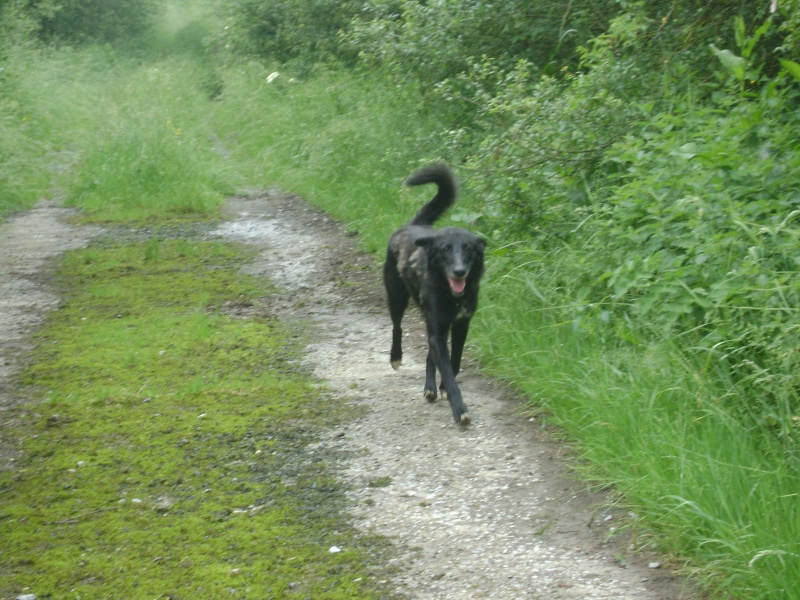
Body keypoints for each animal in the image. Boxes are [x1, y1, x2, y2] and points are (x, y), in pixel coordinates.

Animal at [382, 164, 484, 424]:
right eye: (445, 250)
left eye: (468, 249)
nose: (459, 271)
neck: (452, 297)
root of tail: (411, 226)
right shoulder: (438, 329)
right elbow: (446, 368)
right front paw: (459, 409)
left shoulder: (460, 325)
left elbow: (453, 363)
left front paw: (444, 389)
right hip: (397, 297)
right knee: (397, 326)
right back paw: (396, 357)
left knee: (430, 354)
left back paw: (430, 387)